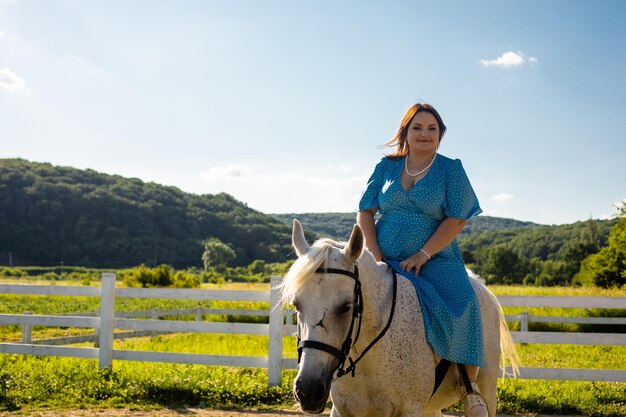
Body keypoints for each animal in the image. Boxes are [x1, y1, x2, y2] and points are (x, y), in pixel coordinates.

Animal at [280, 219, 516, 414]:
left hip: (486, 389)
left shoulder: (410, 409)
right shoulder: (343, 411)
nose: (308, 391)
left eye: (346, 307)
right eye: (296, 306)